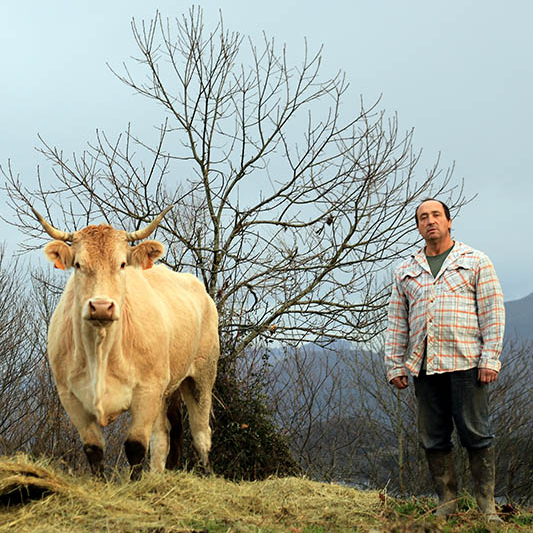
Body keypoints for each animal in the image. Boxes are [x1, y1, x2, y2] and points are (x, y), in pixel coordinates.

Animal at [32, 207, 219, 478]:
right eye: (78, 264)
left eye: (121, 264)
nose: (101, 306)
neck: (102, 351)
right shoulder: (70, 396)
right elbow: (94, 449)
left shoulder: (147, 391)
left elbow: (135, 446)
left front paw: (135, 482)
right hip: (166, 390)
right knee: (162, 436)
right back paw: (156, 477)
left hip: (202, 375)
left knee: (201, 433)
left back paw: (206, 472)